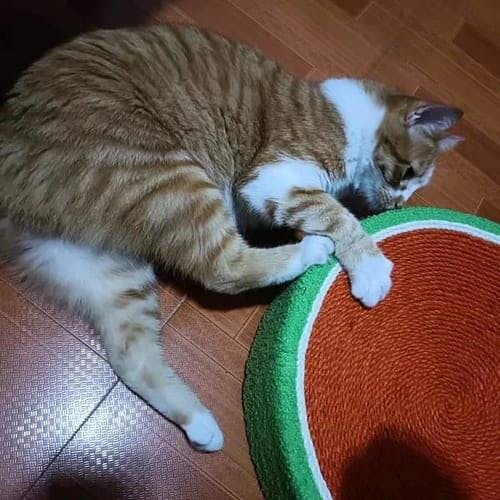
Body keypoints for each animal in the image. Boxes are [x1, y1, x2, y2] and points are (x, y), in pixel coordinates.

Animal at [0, 25, 462, 452]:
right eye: (406, 174)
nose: (397, 206)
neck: (350, 123)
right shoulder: (270, 178)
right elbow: (337, 214)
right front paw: (371, 267)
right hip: (167, 175)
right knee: (222, 268)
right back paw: (311, 250)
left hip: (109, 269)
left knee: (131, 356)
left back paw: (201, 426)